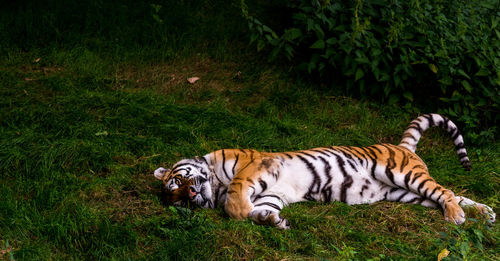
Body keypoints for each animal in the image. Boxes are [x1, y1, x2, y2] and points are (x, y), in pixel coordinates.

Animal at [153, 113, 496, 228]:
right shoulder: (271, 194)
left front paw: (241, 212)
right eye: (178, 198)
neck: (216, 185)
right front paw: (273, 221)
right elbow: (261, 209)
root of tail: (403, 146)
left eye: (179, 180)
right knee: (449, 194)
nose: (192, 193)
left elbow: (235, 201)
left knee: (445, 192)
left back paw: (457, 217)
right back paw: (485, 213)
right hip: (404, 193)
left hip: (401, 174)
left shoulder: (252, 166)